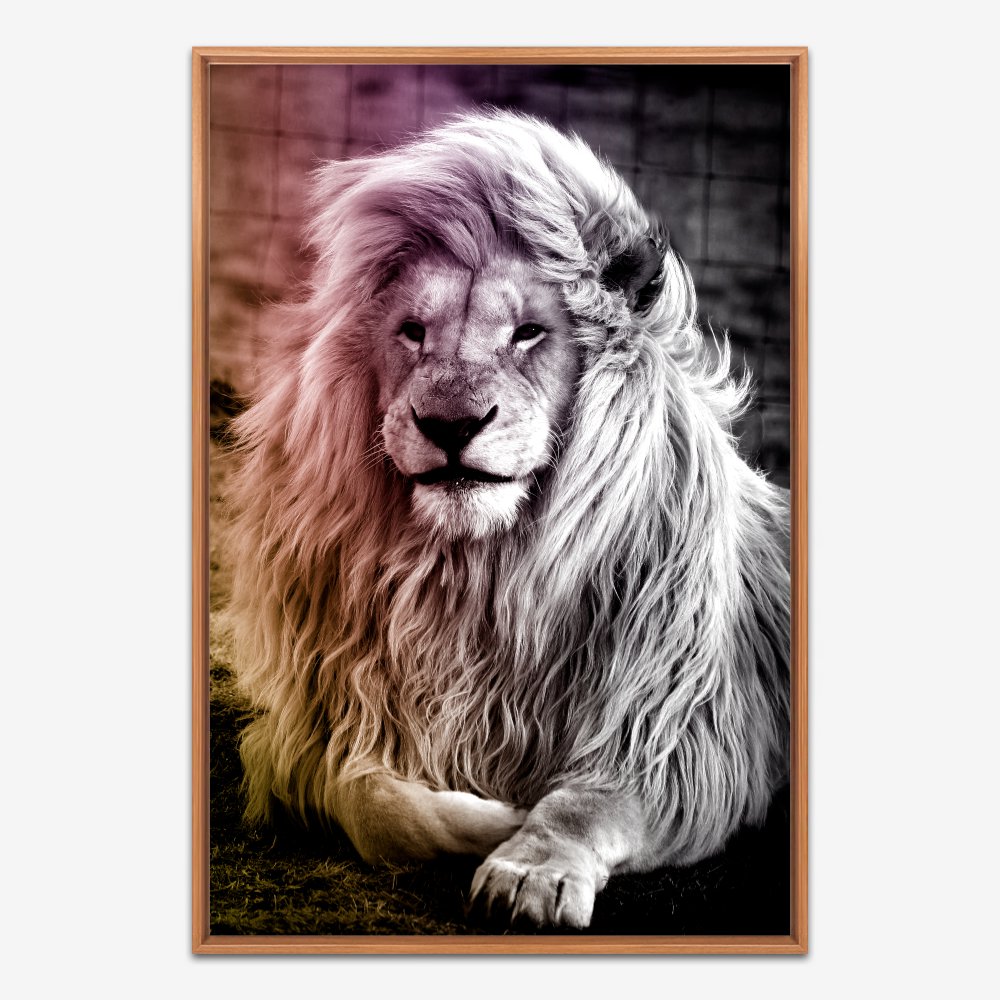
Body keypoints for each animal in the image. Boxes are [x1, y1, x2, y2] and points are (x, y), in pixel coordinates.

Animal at [225, 110, 790, 930]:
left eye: (527, 332)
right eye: (413, 331)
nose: (450, 423)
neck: (478, 576)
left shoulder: (683, 740)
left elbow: (582, 804)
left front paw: (530, 868)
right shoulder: (321, 729)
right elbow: (371, 800)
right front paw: (492, 820)